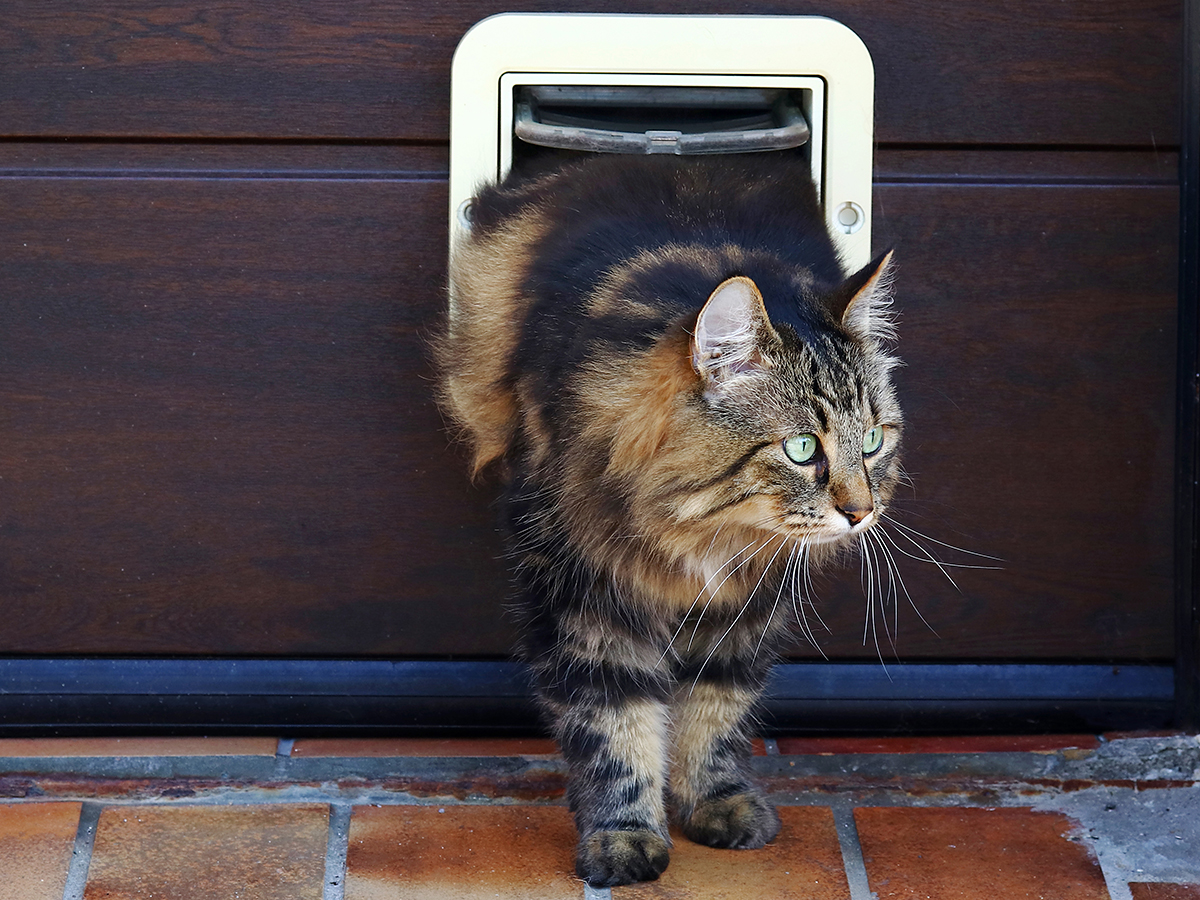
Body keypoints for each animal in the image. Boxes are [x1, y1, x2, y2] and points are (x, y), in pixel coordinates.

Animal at [439, 154, 902, 888]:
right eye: (803, 448)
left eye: (875, 442)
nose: (861, 512)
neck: (700, 530)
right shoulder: (584, 601)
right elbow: (615, 727)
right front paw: (625, 837)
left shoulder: (744, 609)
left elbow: (714, 717)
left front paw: (717, 804)